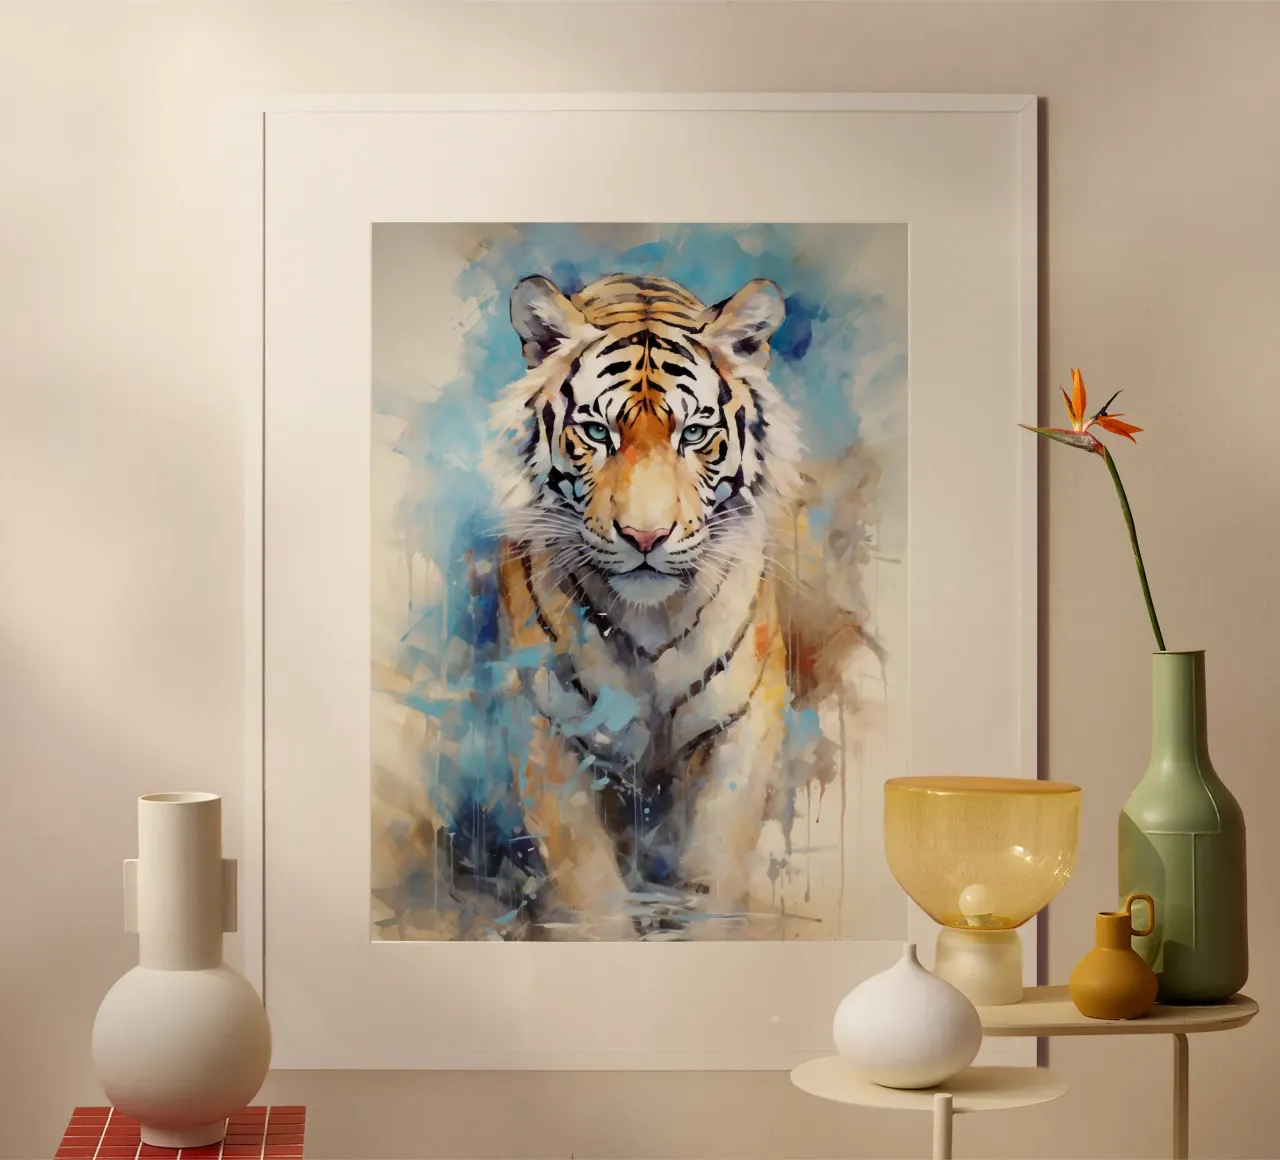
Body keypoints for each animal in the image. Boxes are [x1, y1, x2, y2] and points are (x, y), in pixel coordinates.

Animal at [482, 271, 808, 939]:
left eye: (694, 433)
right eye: (596, 432)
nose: (645, 536)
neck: (650, 619)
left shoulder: (743, 723)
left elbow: (714, 868)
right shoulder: (548, 729)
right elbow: (590, 888)